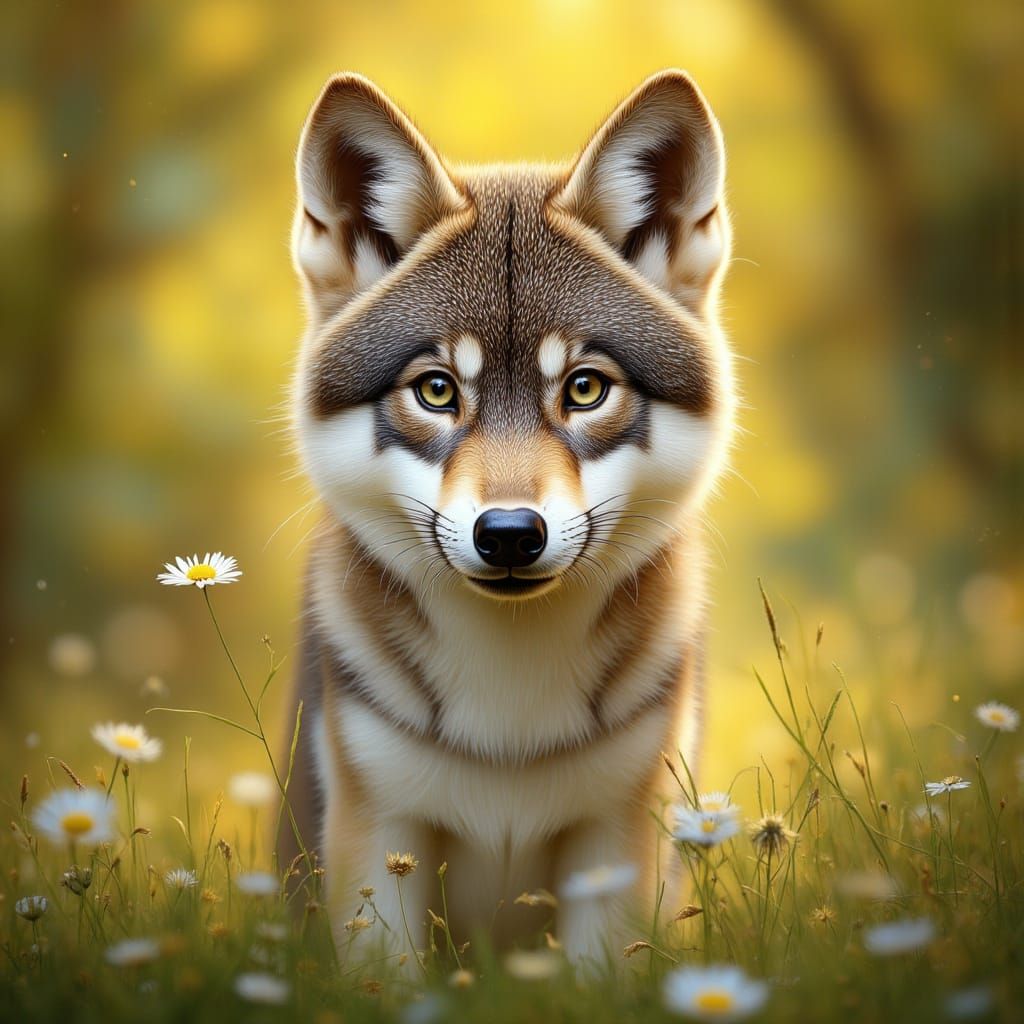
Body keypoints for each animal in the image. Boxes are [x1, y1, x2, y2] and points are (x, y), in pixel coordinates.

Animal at [283, 69, 736, 968]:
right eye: (436, 390)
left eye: (585, 388)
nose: (510, 534)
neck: (509, 722)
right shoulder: (378, 833)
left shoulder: (615, 840)